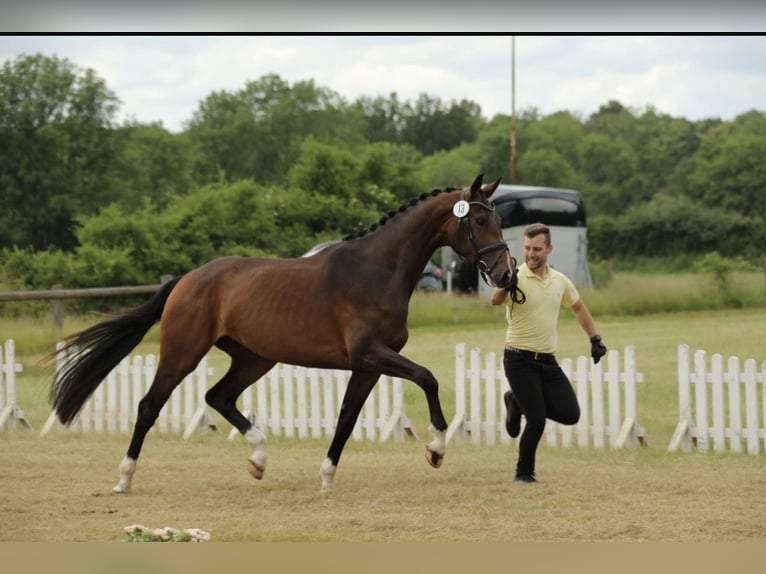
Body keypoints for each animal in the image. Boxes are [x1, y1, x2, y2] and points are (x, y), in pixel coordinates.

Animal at [47, 173, 516, 494]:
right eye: (478, 219)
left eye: (497, 218)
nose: (506, 275)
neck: (376, 270)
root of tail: (188, 279)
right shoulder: (372, 354)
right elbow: (428, 378)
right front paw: (436, 448)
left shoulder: (367, 367)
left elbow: (347, 418)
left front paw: (326, 478)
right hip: (183, 353)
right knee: (149, 406)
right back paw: (124, 479)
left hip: (254, 358)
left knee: (218, 396)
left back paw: (258, 456)